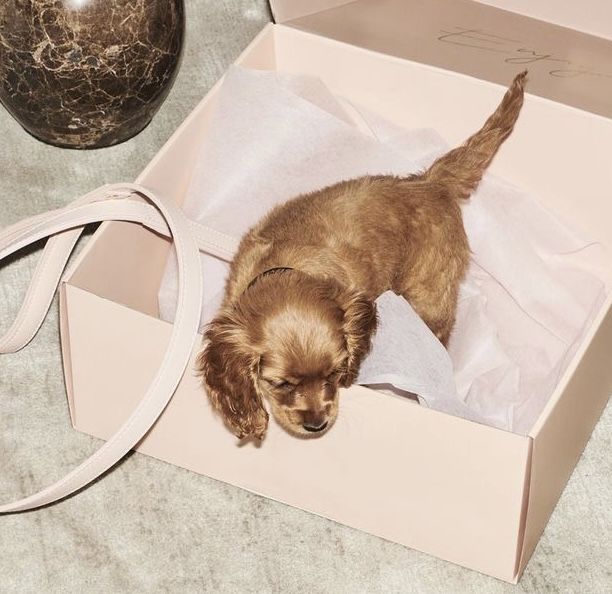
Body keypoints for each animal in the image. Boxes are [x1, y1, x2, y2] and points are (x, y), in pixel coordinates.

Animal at [197, 70, 524, 440]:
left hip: (428, 295)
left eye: (334, 373)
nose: (316, 424)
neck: (287, 268)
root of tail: (431, 181)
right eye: (282, 383)